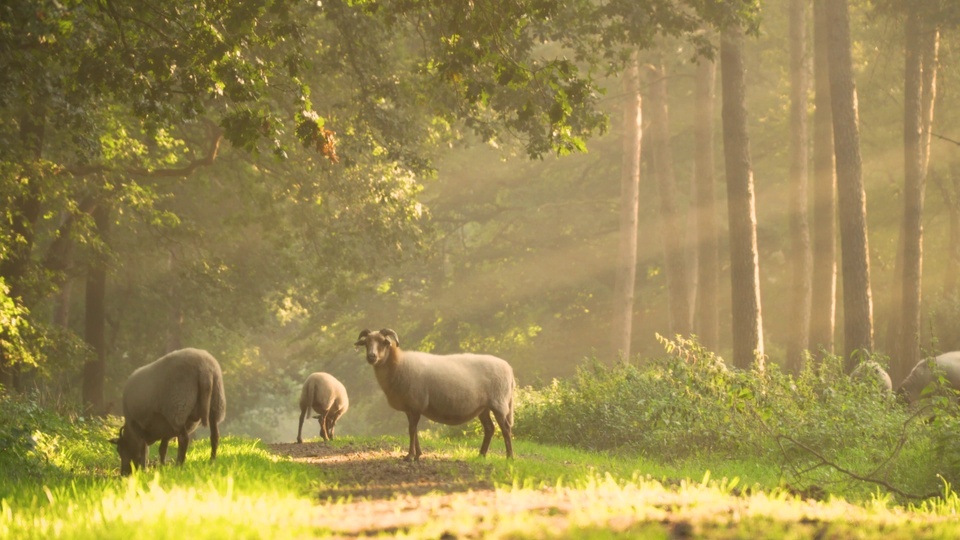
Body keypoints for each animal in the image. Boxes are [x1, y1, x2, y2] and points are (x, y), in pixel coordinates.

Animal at [354, 326, 516, 462]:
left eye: (383, 342)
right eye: (366, 343)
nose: (371, 357)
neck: (398, 363)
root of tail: (508, 368)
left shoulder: (416, 404)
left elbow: (411, 430)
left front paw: (410, 456)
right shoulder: (410, 407)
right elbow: (414, 430)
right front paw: (418, 454)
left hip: (499, 403)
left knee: (506, 428)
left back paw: (509, 457)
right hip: (483, 407)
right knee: (490, 429)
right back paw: (481, 455)